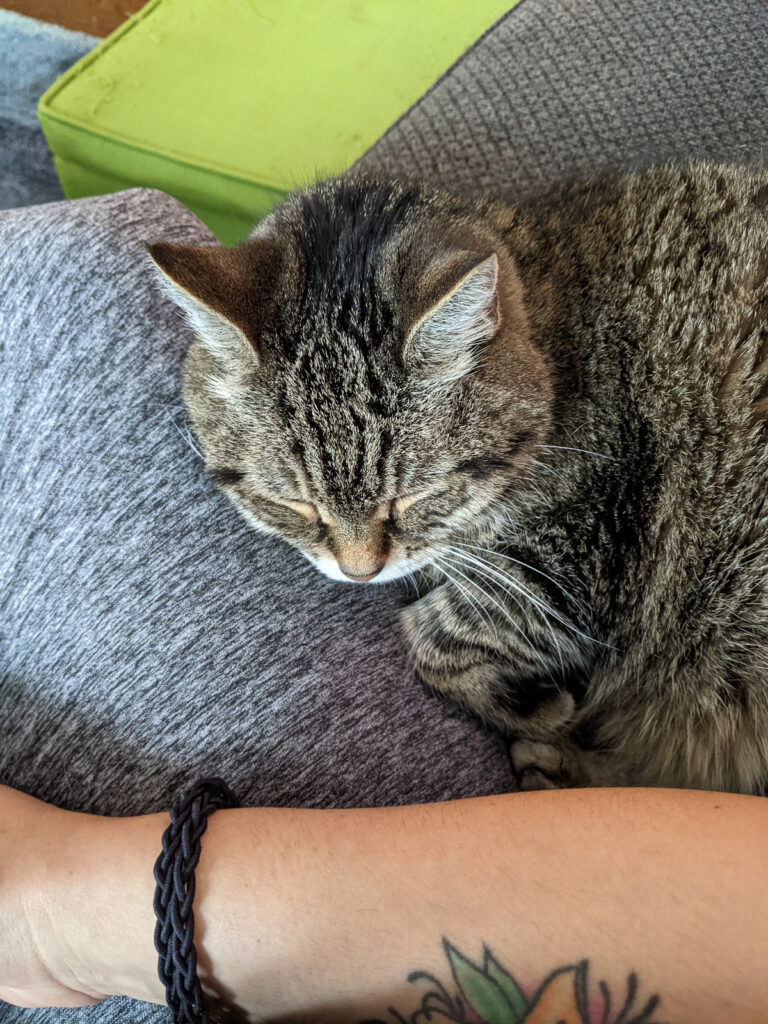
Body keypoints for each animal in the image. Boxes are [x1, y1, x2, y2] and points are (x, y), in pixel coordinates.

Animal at [147, 163, 768, 794]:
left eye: (413, 497)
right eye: (296, 505)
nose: (359, 571)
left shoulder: (581, 550)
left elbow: (431, 635)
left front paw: (538, 713)